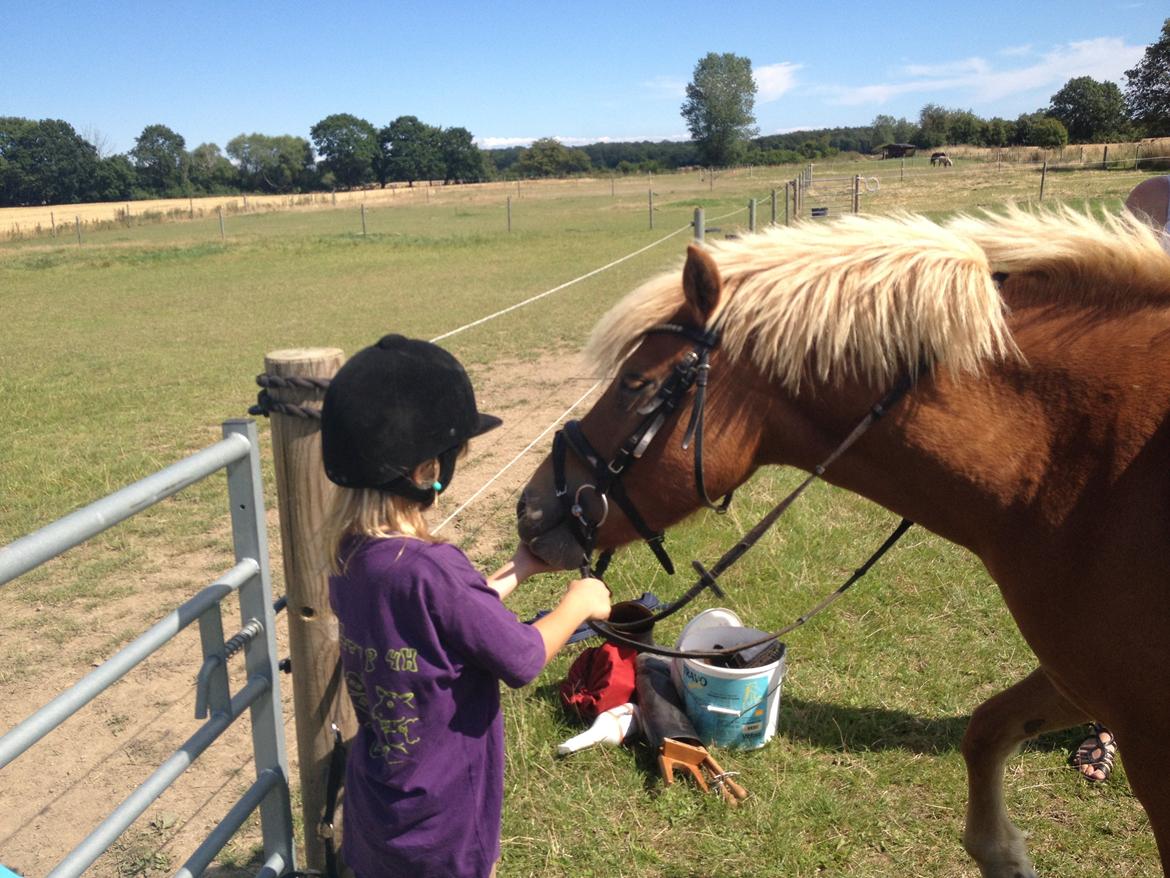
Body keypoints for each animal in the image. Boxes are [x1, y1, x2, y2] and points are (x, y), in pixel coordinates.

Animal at [521, 209, 1170, 875]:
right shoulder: (1087, 681)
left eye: (634, 383)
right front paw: (1003, 855)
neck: (1074, 459)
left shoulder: (1147, 731)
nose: (532, 507)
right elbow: (985, 729)